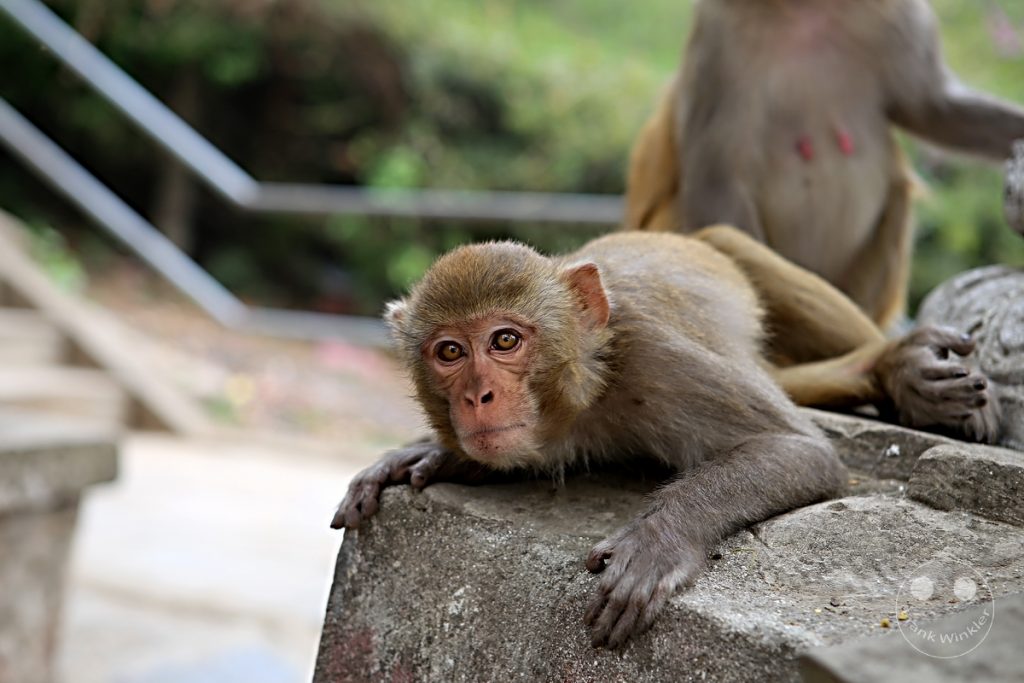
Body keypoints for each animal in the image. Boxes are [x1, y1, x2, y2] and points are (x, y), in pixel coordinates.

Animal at [332, 228, 996, 649]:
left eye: (504, 341)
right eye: (449, 352)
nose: (478, 397)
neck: (586, 385)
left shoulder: (653, 353)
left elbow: (797, 448)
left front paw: (659, 540)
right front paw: (435, 454)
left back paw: (896, 364)